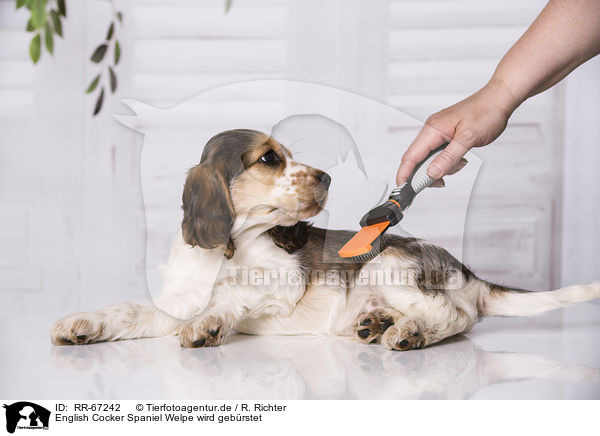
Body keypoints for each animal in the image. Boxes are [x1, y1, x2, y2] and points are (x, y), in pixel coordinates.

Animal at [50, 129, 600, 350]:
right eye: (270, 158)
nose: (327, 177)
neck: (231, 249)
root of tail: (470, 274)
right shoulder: (176, 301)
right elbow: (128, 310)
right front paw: (82, 324)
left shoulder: (280, 286)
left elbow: (231, 296)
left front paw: (210, 324)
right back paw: (376, 323)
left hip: (388, 264)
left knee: (455, 316)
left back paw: (406, 333)